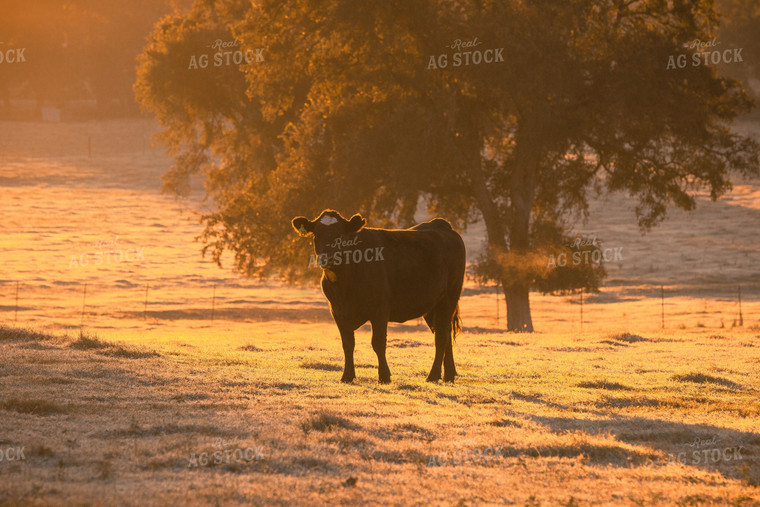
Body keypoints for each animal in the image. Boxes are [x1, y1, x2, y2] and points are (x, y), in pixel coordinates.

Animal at [294, 208, 466, 382]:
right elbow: (347, 344)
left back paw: (433, 375)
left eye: (340, 235)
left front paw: (384, 376)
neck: (344, 285)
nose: (326, 258)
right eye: (316, 235)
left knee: (441, 337)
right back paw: (449, 374)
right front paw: (347, 376)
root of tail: (441, 224)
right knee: (445, 334)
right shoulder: (337, 311)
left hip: (448, 298)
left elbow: (378, 343)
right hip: (432, 306)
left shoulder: (380, 310)